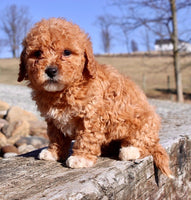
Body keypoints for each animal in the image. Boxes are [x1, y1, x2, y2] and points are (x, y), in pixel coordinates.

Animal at [18, 18, 173, 177]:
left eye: (67, 52)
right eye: (37, 53)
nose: (51, 70)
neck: (64, 91)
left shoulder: (92, 116)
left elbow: (86, 137)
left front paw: (81, 158)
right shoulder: (54, 120)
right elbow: (57, 136)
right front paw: (53, 152)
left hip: (145, 123)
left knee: (146, 143)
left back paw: (130, 150)